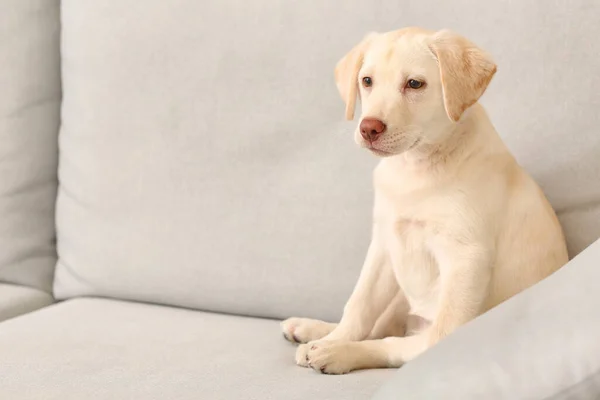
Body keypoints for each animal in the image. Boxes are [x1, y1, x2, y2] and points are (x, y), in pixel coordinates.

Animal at [280, 28, 568, 376]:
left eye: (414, 84)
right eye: (367, 81)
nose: (368, 128)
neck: (416, 167)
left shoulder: (465, 257)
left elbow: (415, 340)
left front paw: (338, 347)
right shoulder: (384, 243)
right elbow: (360, 305)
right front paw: (337, 336)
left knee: (399, 343)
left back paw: (336, 351)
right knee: (379, 327)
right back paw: (313, 330)